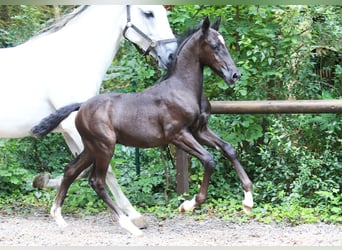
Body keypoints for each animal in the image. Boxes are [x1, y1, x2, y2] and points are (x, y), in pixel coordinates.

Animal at [0, 4, 176, 230]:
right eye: (149, 13)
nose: (172, 55)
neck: (71, 60)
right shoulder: (78, 129)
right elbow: (105, 171)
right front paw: (134, 216)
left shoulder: (70, 130)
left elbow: (78, 170)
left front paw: (42, 181)